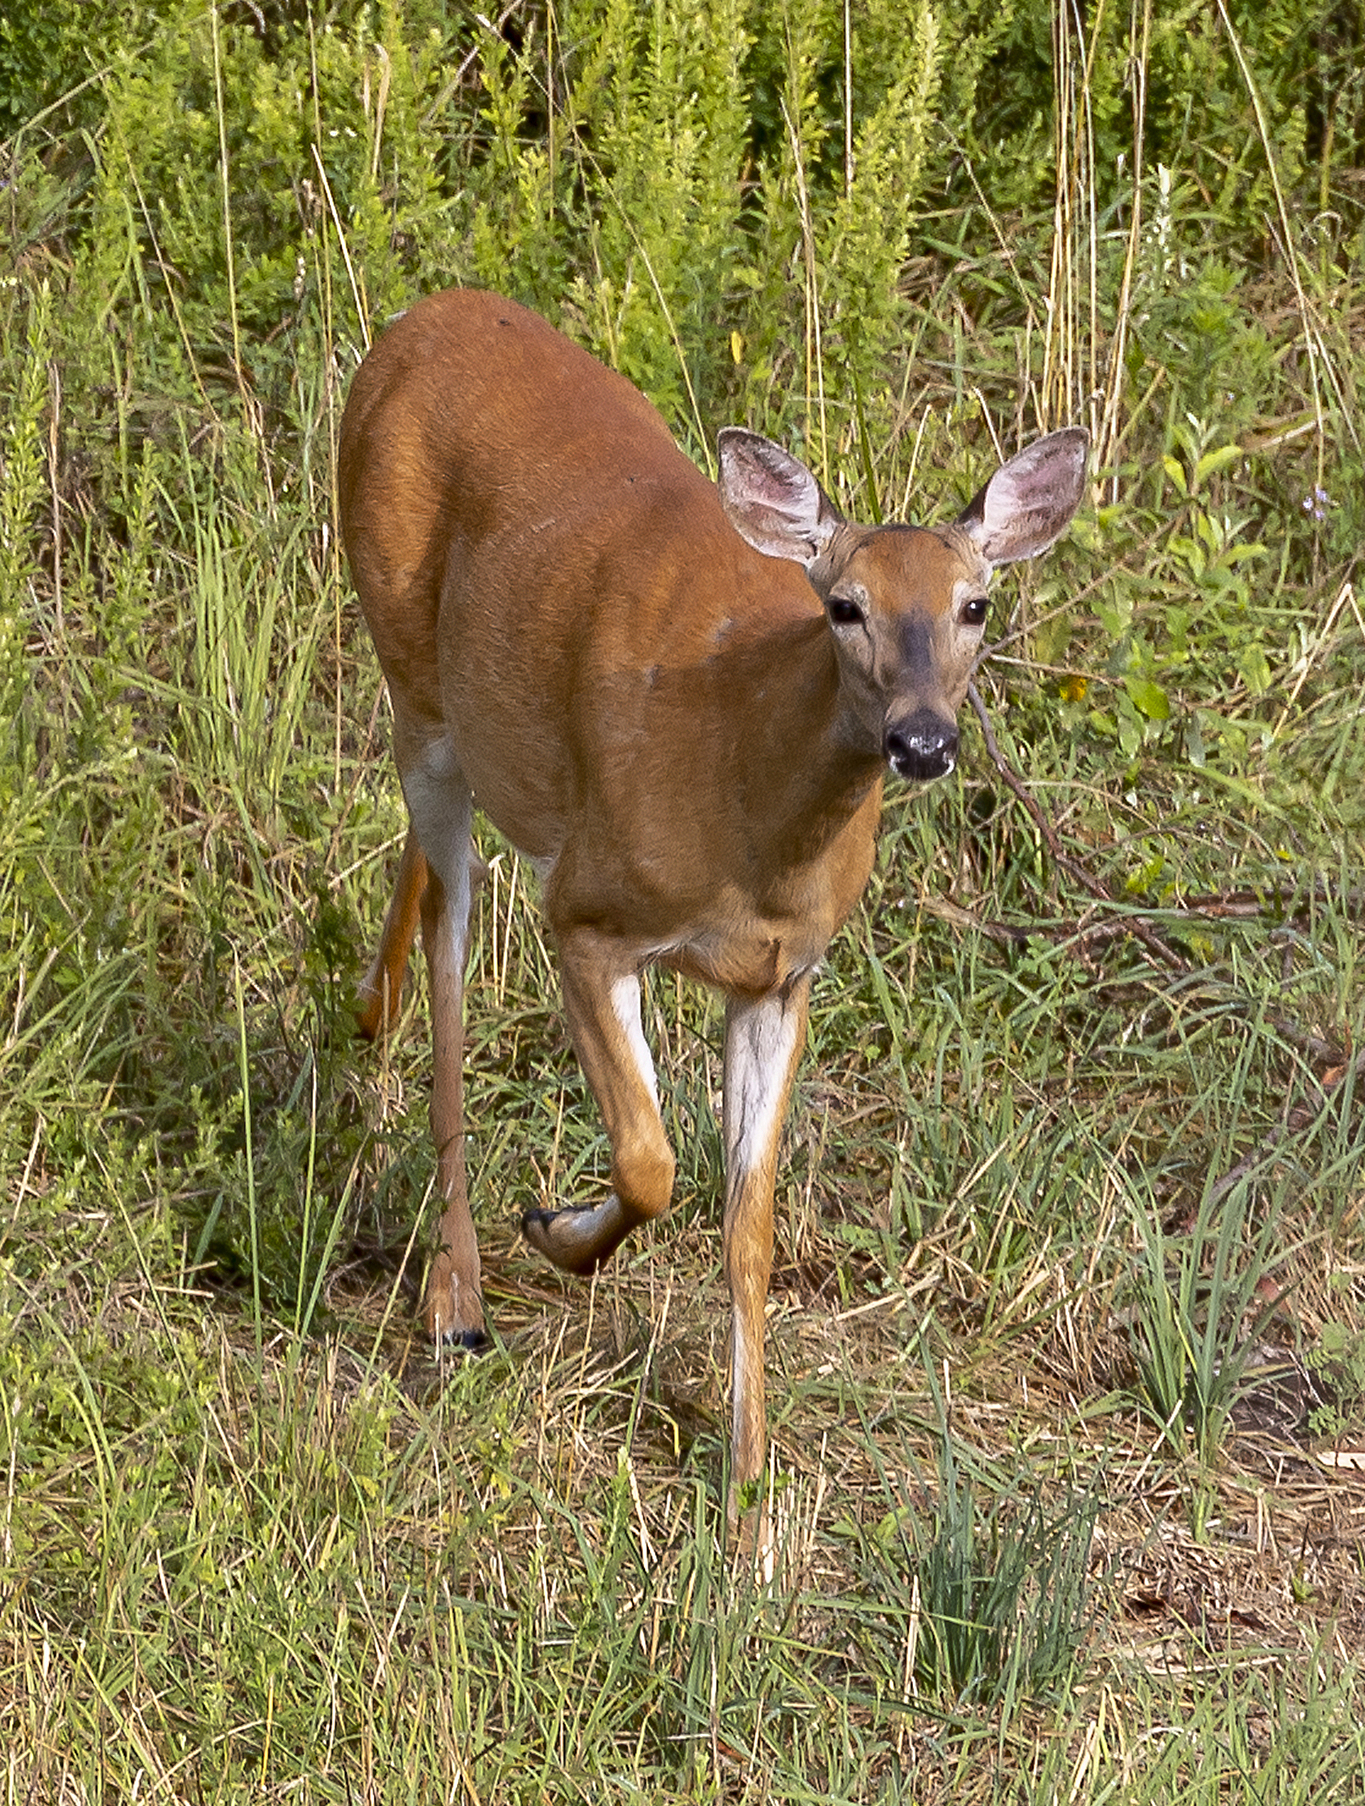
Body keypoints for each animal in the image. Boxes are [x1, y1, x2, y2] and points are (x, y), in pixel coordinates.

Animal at [341, 288, 1090, 1545]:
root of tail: (418, 319)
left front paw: (748, 1494)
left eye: (976, 606)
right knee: (454, 942)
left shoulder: (783, 978)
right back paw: (459, 1301)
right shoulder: (588, 914)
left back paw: (367, 1009)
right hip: (415, 677)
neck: (749, 802)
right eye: (843, 606)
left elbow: (751, 1226)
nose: (923, 740)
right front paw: (556, 1233)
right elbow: (650, 1161)